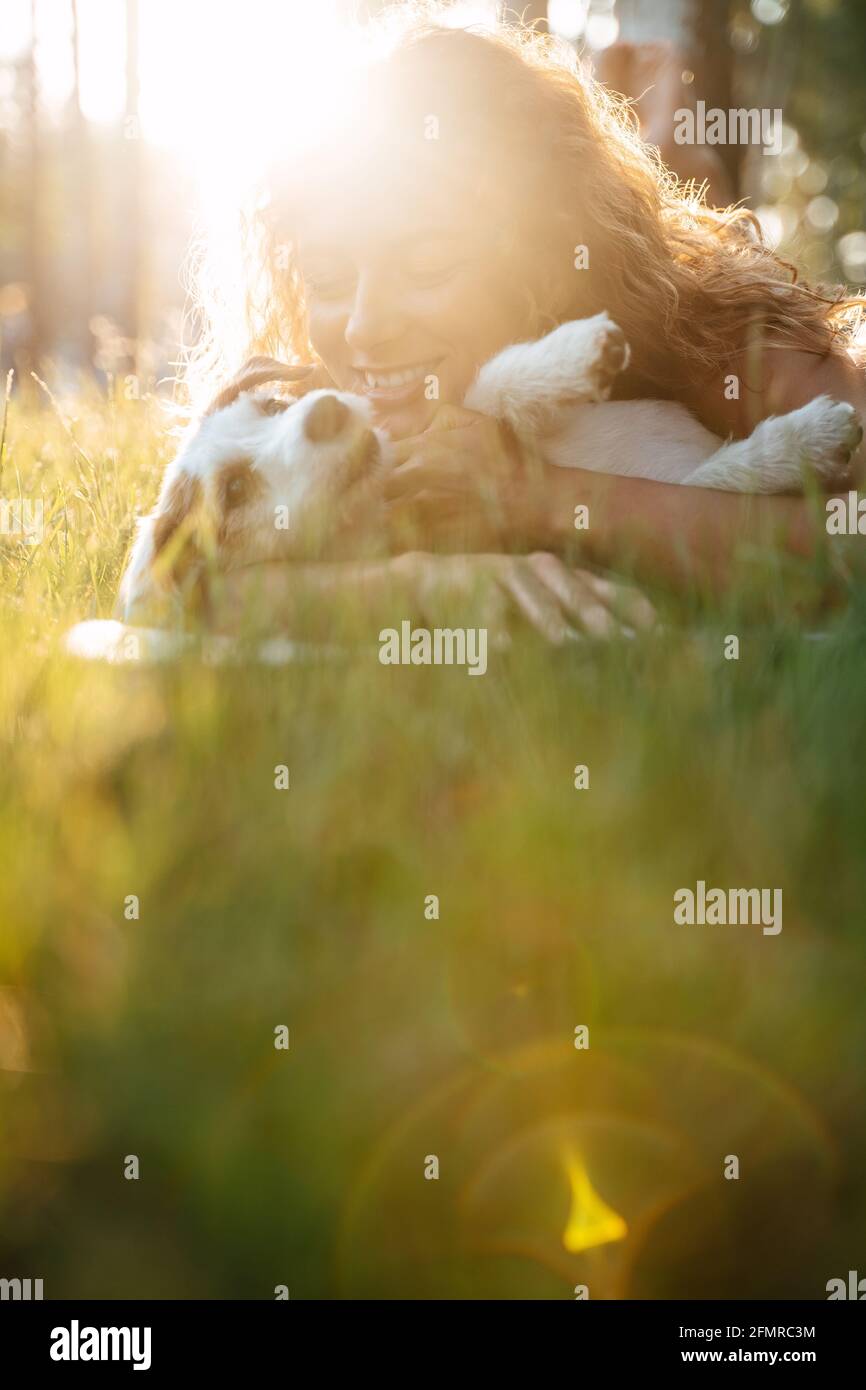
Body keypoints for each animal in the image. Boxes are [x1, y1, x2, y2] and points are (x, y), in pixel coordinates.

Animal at [118, 318, 861, 622]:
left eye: (274, 404)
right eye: (235, 489)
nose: (326, 411)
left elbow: (489, 386)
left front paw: (575, 352)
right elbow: (705, 481)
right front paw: (806, 442)